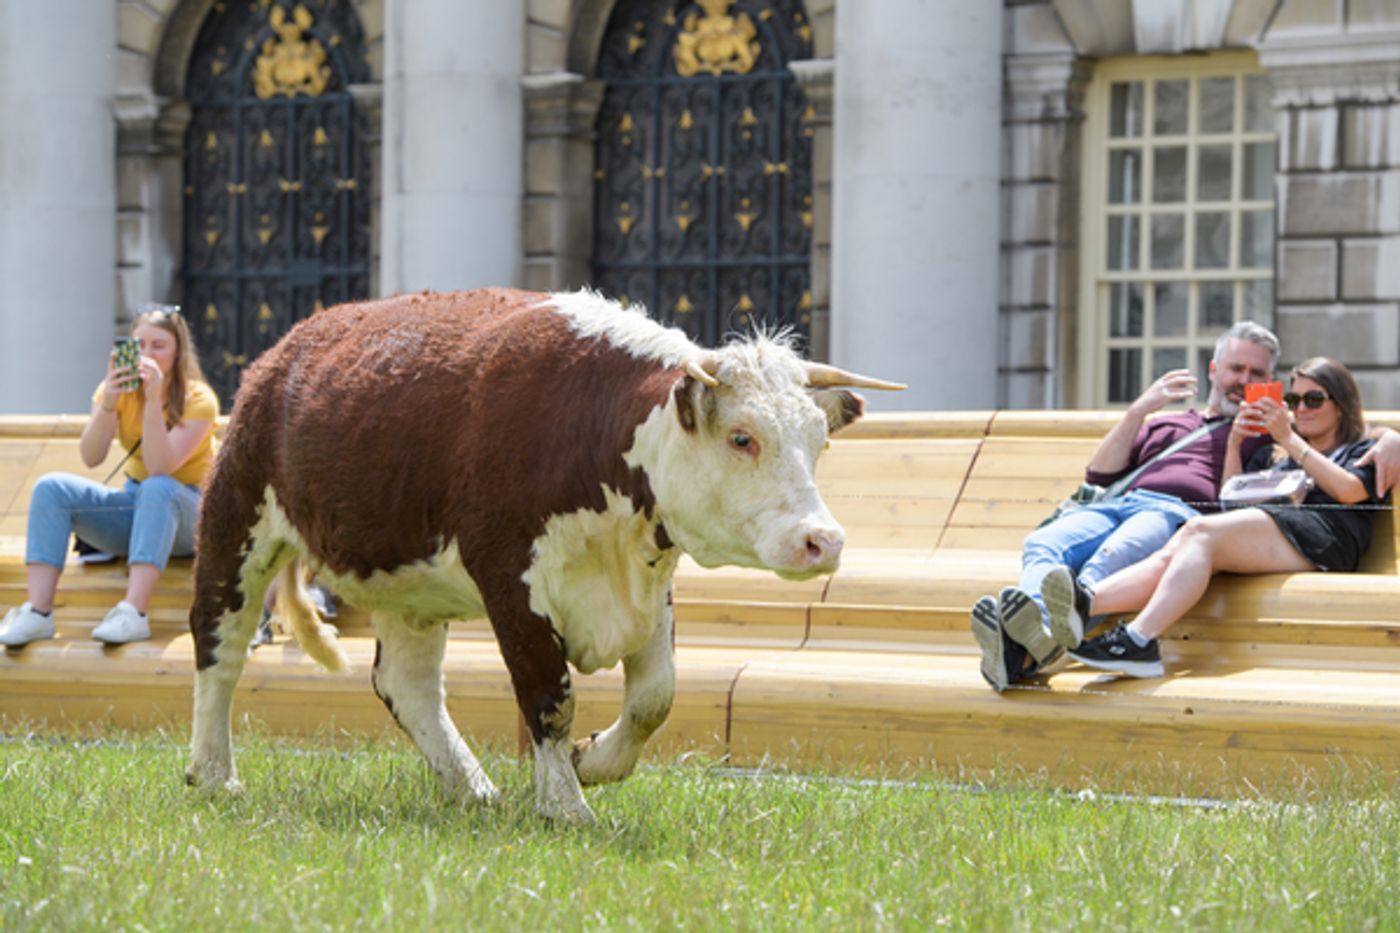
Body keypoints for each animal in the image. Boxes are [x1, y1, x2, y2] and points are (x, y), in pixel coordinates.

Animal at [184, 287, 901, 823]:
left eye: (820, 441)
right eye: (742, 437)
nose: (822, 539)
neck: (592, 432)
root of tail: (291, 346)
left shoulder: (651, 580)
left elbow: (655, 696)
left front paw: (592, 762)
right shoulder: (511, 578)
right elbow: (548, 694)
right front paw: (564, 803)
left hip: (407, 585)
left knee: (408, 686)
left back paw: (473, 790)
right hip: (237, 520)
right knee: (219, 647)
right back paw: (215, 773)